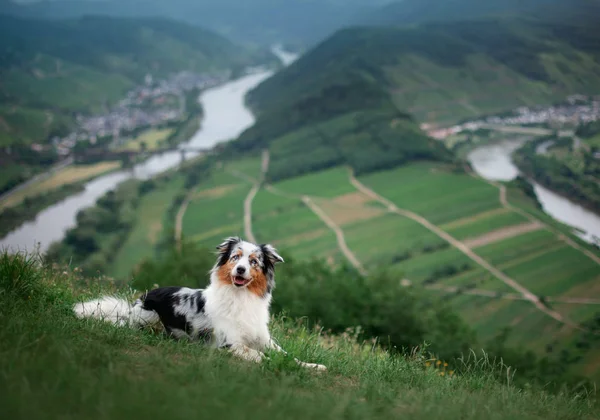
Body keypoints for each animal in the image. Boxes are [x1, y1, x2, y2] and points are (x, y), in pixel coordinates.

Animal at [74, 236, 328, 370]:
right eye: (235, 257)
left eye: (254, 261)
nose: (240, 269)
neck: (240, 297)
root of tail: (137, 302)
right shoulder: (229, 343)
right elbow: (259, 356)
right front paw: (272, 364)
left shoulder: (264, 338)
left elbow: (286, 355)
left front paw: (312, 366)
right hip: (149, 317)